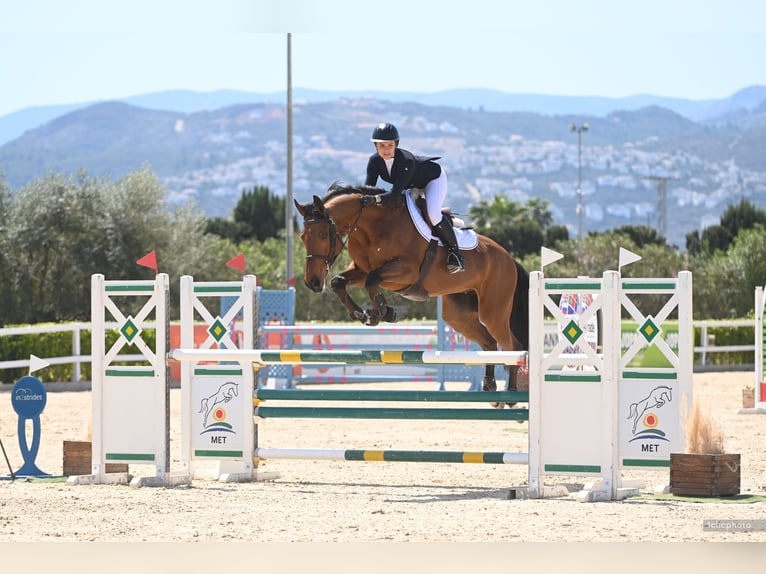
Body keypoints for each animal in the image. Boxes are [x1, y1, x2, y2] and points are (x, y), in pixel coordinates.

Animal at [292, 184, 532, 400]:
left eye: (323, 234)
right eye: (303, 236)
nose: (312, 282)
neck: (373, 227)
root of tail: (509, 258)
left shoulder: (406, 272)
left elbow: (372, 281)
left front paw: (384, 312)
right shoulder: (361, 270)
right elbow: (338, 281)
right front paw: (363, 315)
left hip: (493, 312)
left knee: (512, 346)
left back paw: (511, 393)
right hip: (460, 316)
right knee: (490, 343)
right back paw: (490, 386)